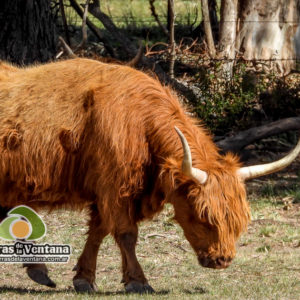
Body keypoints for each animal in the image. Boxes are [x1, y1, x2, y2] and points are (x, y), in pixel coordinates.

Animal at [0, 58, 300, 292]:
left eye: (239, 220)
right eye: (203, 216)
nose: (222, 260)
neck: (139, 121)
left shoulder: (112, 191)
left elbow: (98, 232)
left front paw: (84, 278)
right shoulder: (115, 188)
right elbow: (125, 234)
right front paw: (138, 281)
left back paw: (37, 269)